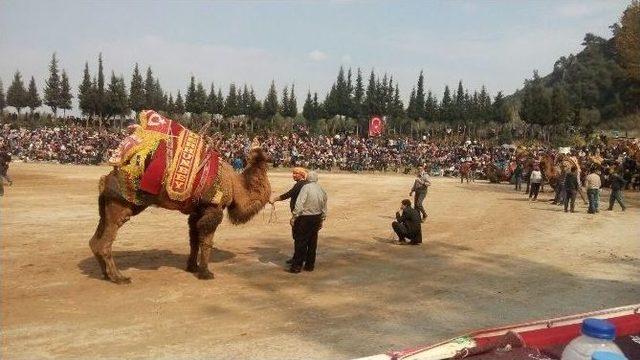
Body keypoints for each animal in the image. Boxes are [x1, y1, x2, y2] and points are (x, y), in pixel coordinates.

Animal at [90, 111, 270, 282]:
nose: (258, 143)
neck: (235, 185)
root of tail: (105, 180)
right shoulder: (213, 207)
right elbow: (206, 241)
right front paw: (206, 273)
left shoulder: (197, 210)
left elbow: (194, 239)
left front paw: (193, 267)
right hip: (122, 204)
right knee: (105, 242)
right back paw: (119, 277)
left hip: (106, 207)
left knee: (95, 241)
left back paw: (106, 274)